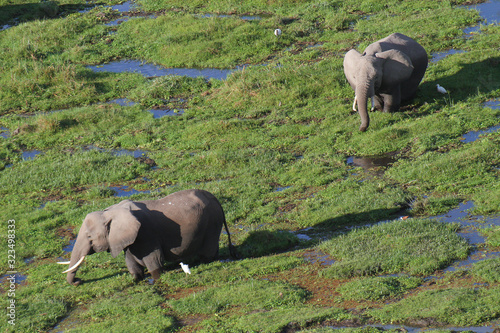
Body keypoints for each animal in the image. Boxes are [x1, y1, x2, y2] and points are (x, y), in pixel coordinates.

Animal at [59, 188, 237, 284]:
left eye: (89, 237)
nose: (78, 281)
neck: (110, 212)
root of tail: (216, 200)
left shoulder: (146, 235)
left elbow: (155, 262)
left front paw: (156, 278)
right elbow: (132, 264)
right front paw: (137, 278)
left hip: (212, 222)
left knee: (208, 252)